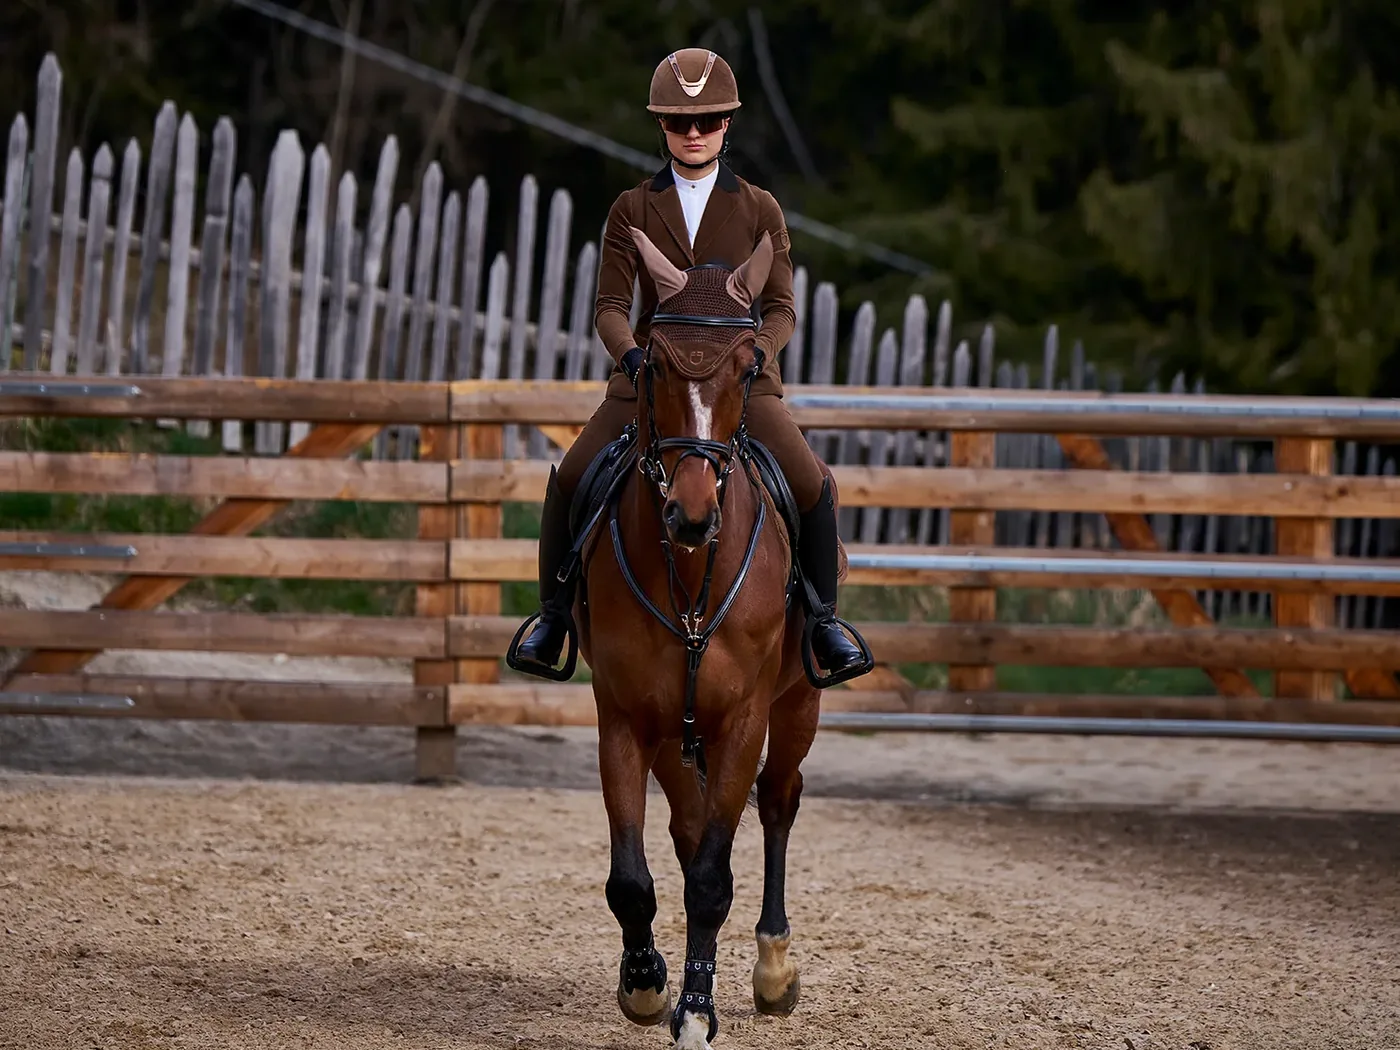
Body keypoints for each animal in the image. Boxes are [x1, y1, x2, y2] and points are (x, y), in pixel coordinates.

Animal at [528, 227, 866, 1049]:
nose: (691, 514)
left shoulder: (742, 720)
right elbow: (634, 875)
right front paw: (648, 985)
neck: (688, 569)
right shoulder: (625, 718)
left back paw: (773, 968)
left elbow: (714, 878)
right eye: (651, 363)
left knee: (777, 801)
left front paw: (699, 1010)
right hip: (675, 733)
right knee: (688, 828)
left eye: (749, 367)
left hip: (797, 705)